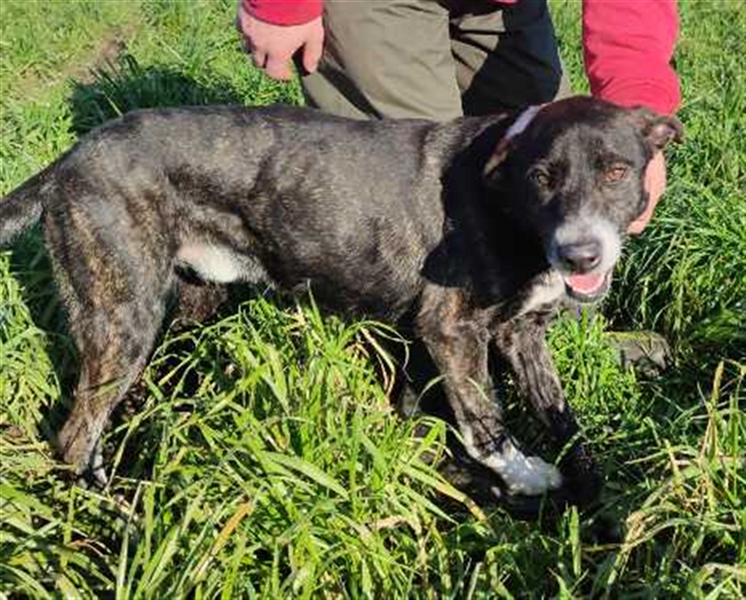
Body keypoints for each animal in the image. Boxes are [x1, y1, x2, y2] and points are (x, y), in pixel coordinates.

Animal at [0, 96, 681, 506]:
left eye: (617, 171)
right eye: (543, 178)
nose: (581, 256)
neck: (508, 200)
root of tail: (69, 159)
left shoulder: (522, 334)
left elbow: (559, 411)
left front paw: (594, 486)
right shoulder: (452, 330)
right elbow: (485, 420)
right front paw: (528, 476)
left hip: (183, 301)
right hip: (124, 313)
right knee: (75, 434)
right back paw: (115, 515)